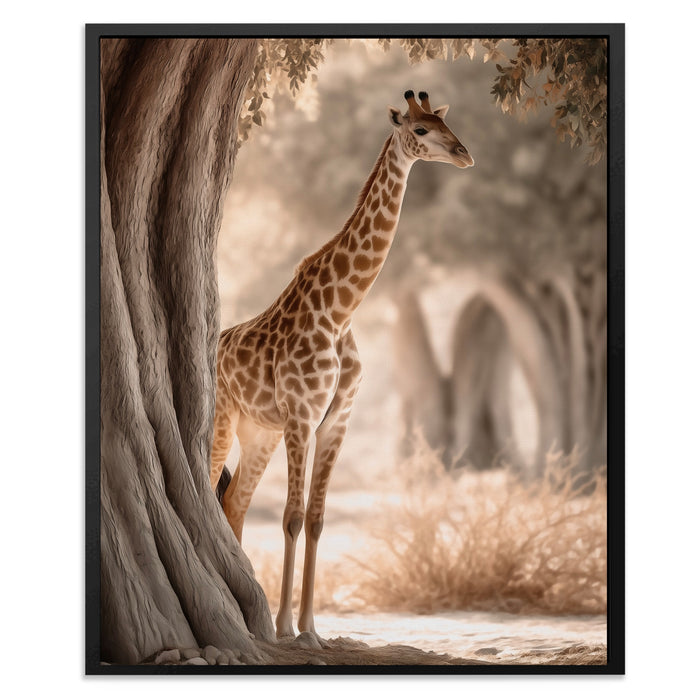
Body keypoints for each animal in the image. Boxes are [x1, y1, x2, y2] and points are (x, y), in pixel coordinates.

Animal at [210, 90, 473, 642]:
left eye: (445, 121)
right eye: (420, 130)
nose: (465, 154)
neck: (340, 312)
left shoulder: (337, 420)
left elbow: (316, 519)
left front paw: (310, 627)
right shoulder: (302, 415)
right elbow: (291, 516)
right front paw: (285, 628)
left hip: (259, 433)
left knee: (234, 502)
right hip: (224, 420)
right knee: (209, 488)